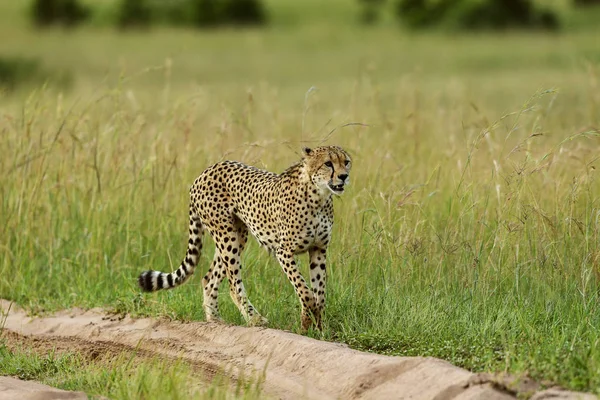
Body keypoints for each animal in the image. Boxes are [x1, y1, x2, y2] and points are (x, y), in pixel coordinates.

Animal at [138, 146, 352, 332]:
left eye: (346, 162)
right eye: (328, 163)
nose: (344, 176)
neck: (319, 196)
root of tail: (206, 171)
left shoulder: (318, 249)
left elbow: (320, 291)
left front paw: (318, 326)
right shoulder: (284, 252)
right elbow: (304, 290)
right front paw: (307, 322)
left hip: (237, 236)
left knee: (209, 278)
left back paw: (215, 320)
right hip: (226, 236)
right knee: (233, 283)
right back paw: (254, 319)